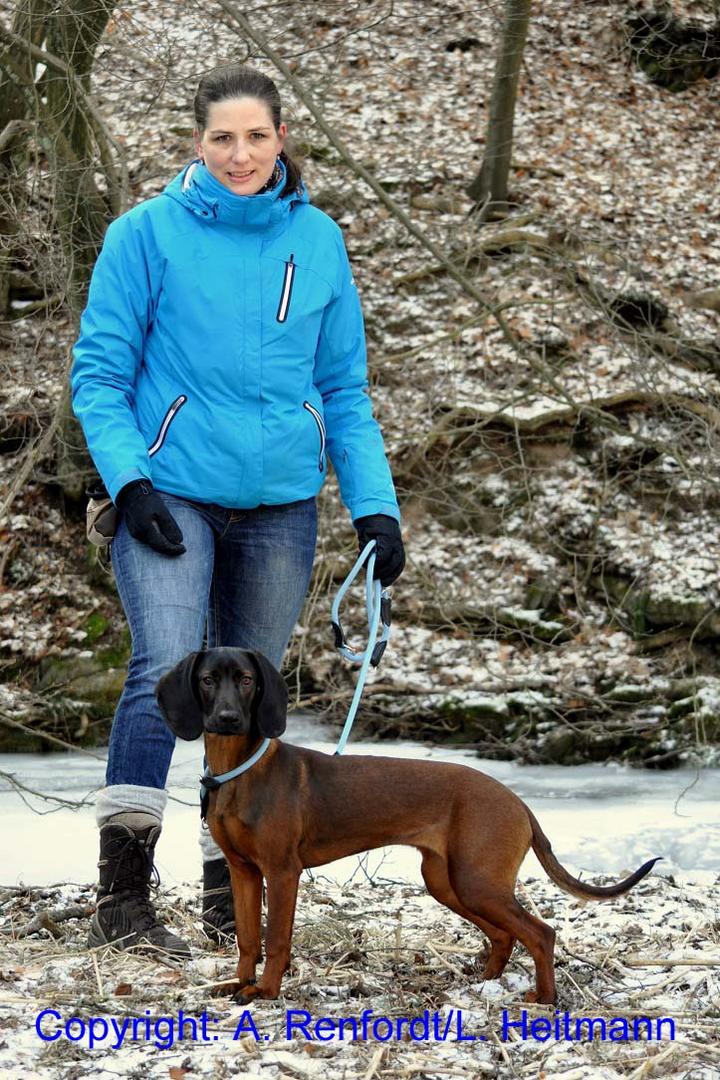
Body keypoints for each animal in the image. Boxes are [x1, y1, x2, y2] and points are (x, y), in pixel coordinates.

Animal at [156, 639, 660, 1002]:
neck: (240, 771)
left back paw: (544, 999)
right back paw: (484, 983)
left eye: (245, 679)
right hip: (448, 881)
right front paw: (240, 983)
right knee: (504, 935)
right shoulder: (242, 871)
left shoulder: (282, 872)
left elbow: (276, 939)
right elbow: (246, 937)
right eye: (207, 680)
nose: (228, 718)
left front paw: (265, 991)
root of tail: (518, 802)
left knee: (541, 933)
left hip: (476, 881)